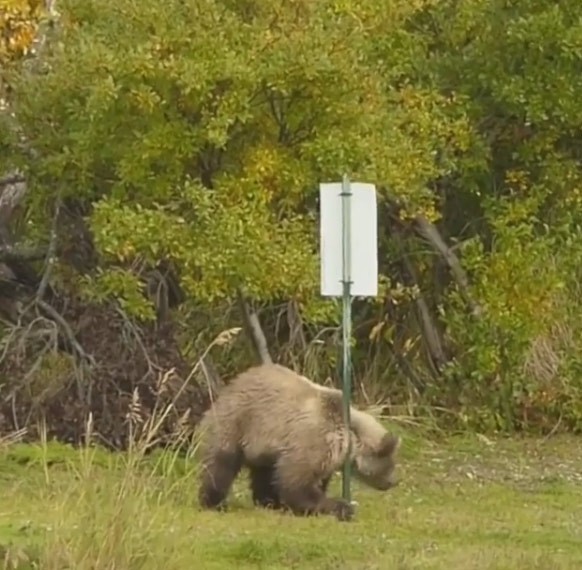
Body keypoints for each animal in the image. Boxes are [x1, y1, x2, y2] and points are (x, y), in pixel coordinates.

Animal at [196, 364, 402, 520]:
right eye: (389, 462)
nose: (393, 482)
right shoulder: (313, 440)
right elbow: (297, 484)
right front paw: (341, 507)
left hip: (264, 446)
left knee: (264, 472)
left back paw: (268, 501)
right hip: (237, 422)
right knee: (221, 464)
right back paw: (214, 502)